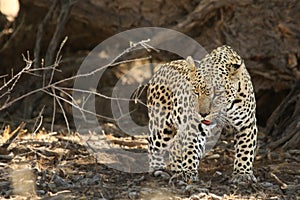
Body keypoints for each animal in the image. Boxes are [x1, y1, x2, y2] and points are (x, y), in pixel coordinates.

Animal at [146, 45, 256, 184]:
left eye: (217, 93)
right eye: (196, 91)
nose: (203, 114)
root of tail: (163, 67)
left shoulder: (246, 124)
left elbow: (245, 149)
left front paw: (243, 174)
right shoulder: (194, 126)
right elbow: (191, 148)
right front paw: (188, 172)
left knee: (175, 145)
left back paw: (177, 171)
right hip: (161, 126)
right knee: (153, 145)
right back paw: (158, 169)